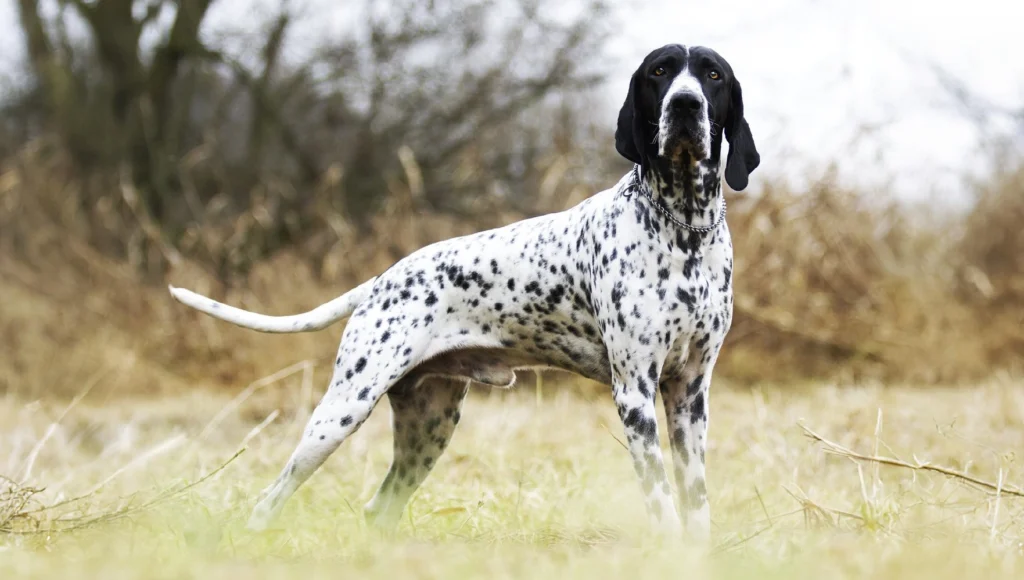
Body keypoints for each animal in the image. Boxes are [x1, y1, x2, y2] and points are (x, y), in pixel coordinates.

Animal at [169, 44, 761, 541]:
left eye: (712, 75)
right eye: (660, 72)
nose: (685, 104)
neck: (685, 230)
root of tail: (383, 279)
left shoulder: (689, 394)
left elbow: (696, 502)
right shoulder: (634, 391)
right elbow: (662, 501)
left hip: (429, 424)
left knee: (378, 508)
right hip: (341, 413)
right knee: (269, 500)